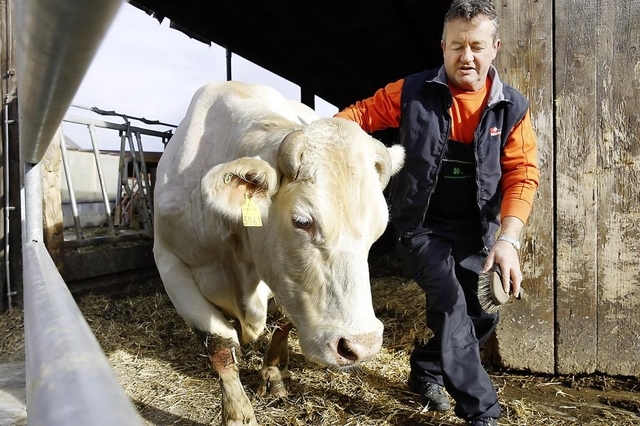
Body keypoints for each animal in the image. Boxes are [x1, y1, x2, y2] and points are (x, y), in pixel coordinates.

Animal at [153, 81, 405, 426]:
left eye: (378, 230)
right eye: (302, 221)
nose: (362, 346)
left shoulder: (286, 283)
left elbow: (284, 322)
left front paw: (272, 375)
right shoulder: (171, 265)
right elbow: (218, 342)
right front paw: (237, 414)